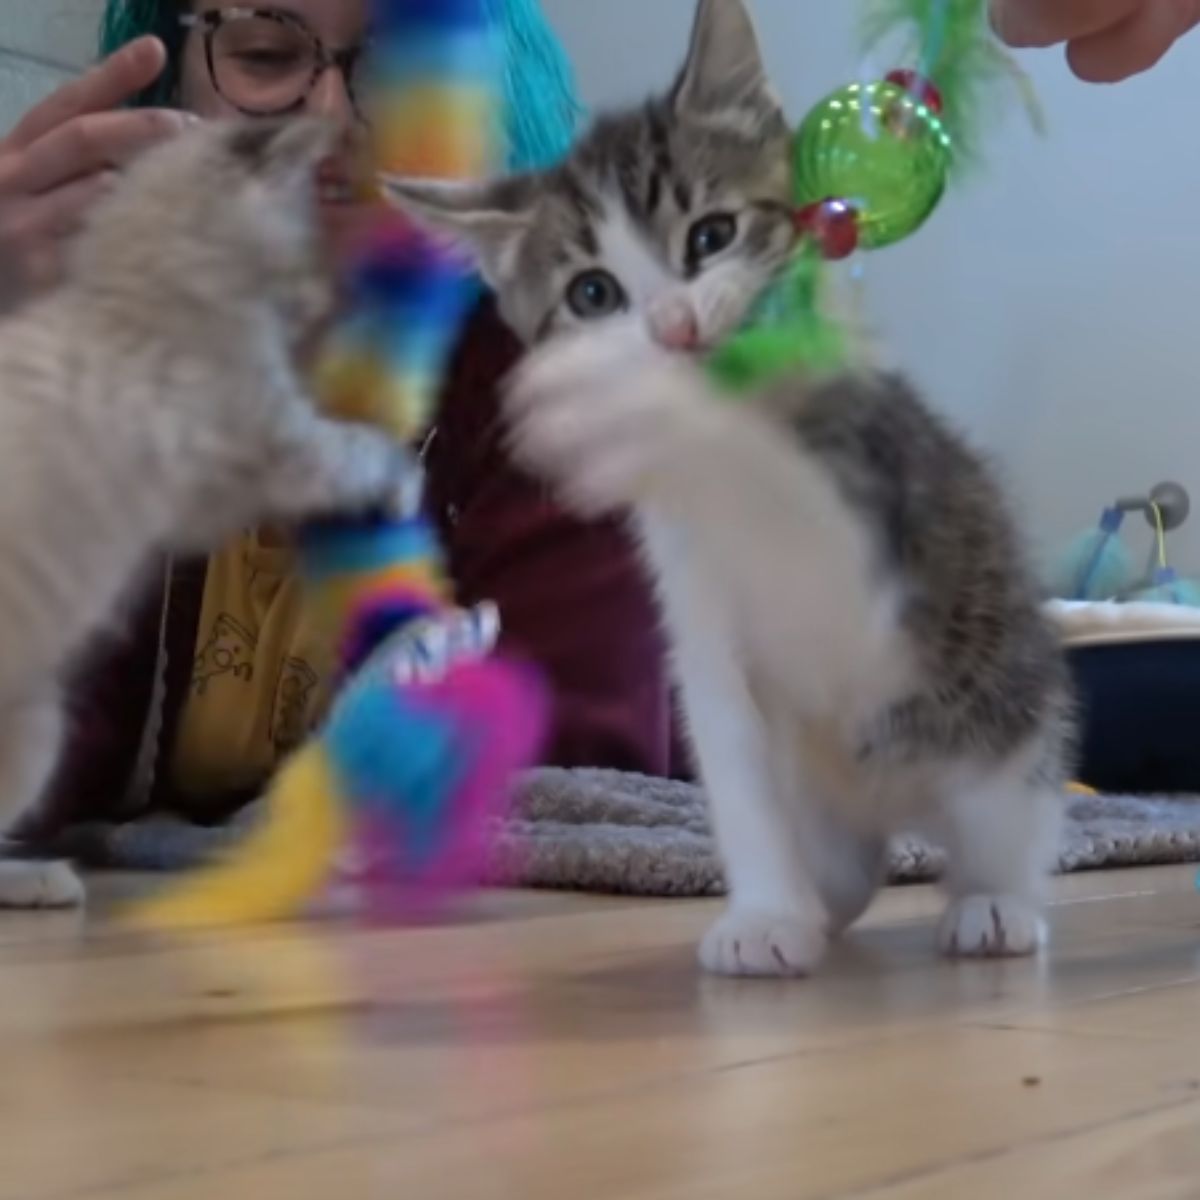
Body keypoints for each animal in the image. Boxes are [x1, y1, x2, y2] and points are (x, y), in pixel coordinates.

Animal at [0, 121, 405, 907]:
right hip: (39, 727)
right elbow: (356, 450)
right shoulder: (273, 444)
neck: (126, 301)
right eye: (302, 256)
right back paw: (43, 881)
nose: (322, 299)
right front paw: (403, 480)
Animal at [386, 0, 1080, 974]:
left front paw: (639, 409)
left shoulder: (869, 552)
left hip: (1002, 715)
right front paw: (767, 916)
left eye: (709, 236)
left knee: (1008, 816)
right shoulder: (703, 639)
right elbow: (739, 774)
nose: (674, 328)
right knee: (850, 855)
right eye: (592, 293)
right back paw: (824, 898)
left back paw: (995, 904)